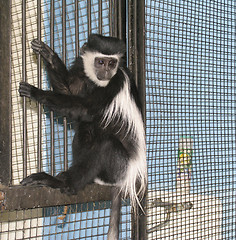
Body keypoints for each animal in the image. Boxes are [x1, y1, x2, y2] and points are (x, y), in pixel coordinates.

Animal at [19, 34, 147, 240]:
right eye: (101, 62)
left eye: (112, 63)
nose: (107, 71)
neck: (98, 81)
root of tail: (129, 174)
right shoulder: (81, 69)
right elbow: (68, 91)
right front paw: (49, 55)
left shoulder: (115, 82)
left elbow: (85, 109)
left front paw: (36, 92)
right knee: (84, 130)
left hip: (120, 166)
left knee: (105, 145)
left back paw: (61, 182)